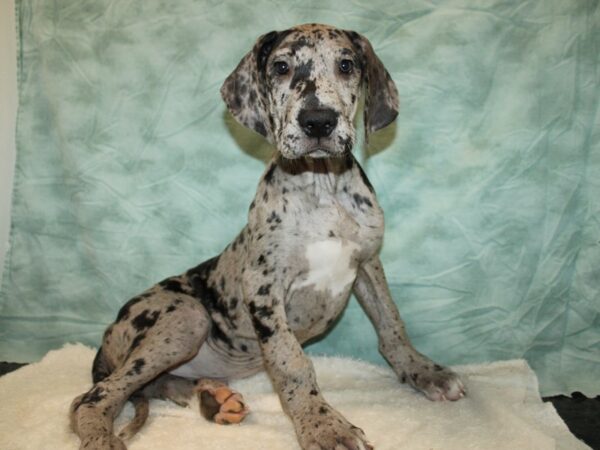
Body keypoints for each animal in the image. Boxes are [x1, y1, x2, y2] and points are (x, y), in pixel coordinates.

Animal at [69, 22, 464, 448]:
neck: (321, 188)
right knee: (92, 397)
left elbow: (391, 323)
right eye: (280, 67)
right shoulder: (263, 286)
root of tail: (106, 338)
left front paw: (423, 371)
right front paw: (323, 425)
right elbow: (292, 361)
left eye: (346, 65)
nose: (318, 121)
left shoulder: (368, 263)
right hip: (187, 316)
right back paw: (103, 435)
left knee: (149, 386)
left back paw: (211, 397)